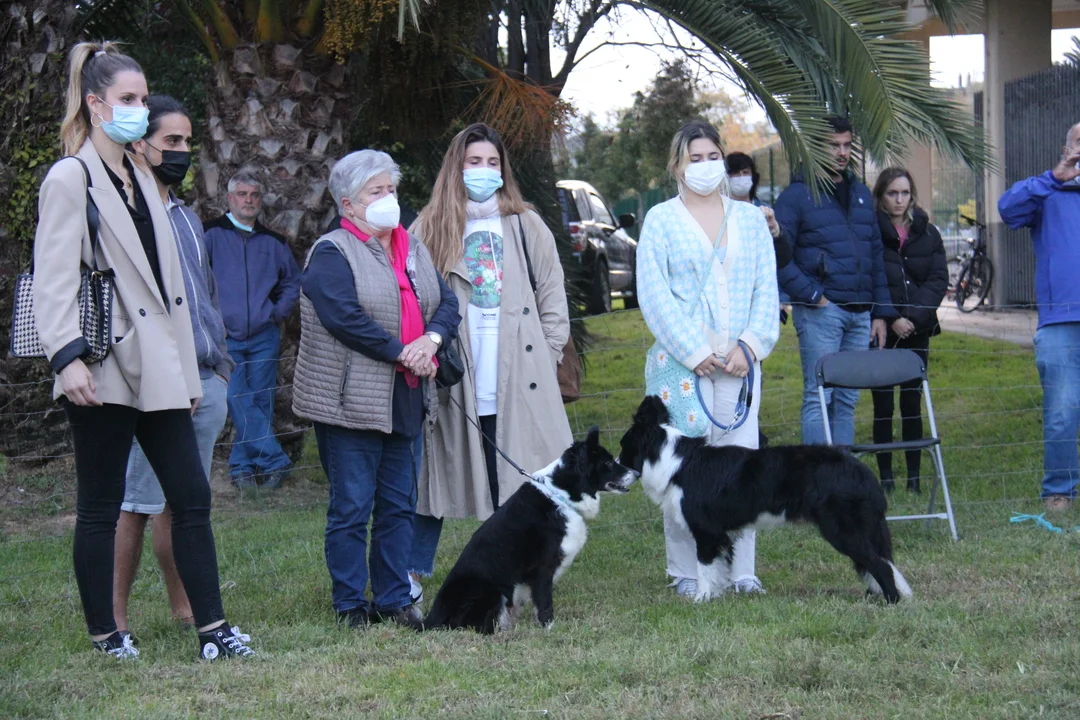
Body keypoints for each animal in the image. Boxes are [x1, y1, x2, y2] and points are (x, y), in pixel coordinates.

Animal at [423, 427, 637, 634]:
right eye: (608, 463)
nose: (636, 473)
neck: (560, 494)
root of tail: (430, 620)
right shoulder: (542, 567)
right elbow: (544, 601)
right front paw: (549, 629)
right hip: (492, 591)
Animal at [618, 396, 912, 604]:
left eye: (623, 447)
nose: (619, 468)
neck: (677, 463)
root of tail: (863, 472)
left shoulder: (706, 531)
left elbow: (704, 568)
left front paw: (701, 600)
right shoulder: (723, 535)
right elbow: (719, 569)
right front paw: (716, 596)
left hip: (842, 530)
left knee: (879, 565)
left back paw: (891, 602)